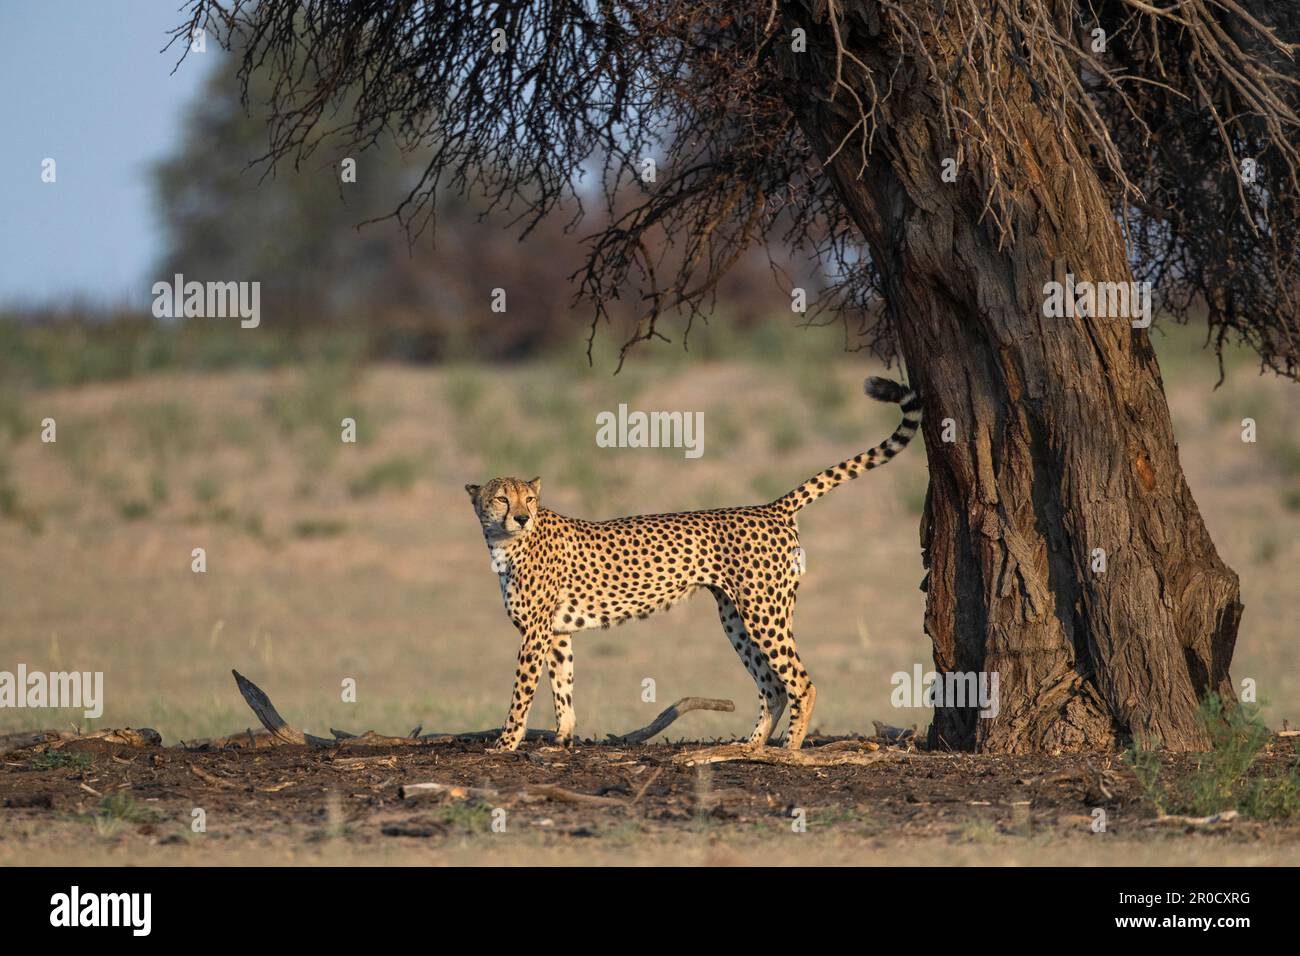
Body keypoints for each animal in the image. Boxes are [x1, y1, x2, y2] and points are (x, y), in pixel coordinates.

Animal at [462, 377, 920, 749]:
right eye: (501, 498)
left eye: (528, 499)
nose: (521, 517)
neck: (505, 543)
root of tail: (771, 507)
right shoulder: (556, 631)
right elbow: (563, 685)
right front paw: (562, 737)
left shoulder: (535, 631)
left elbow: (522, 690)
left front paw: (506, 743)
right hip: (736, 617)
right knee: (773, 685)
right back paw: (751, 745)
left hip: (763, 611)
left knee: (800, 682)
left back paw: (788, 749)